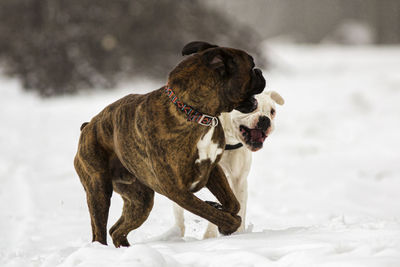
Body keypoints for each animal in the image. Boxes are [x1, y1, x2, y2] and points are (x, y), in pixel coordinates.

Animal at [74, 40, 266, 248]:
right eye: (251, 65)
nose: (260, 71)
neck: (194, 113)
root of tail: (88, 126)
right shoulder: (178, 191)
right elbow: (213, 213)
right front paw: (225, 221)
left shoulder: (212, 169)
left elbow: (233, 203)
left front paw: (218, 206)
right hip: (98, 189)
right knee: (99, 233)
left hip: (141, 200)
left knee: (116, 231)